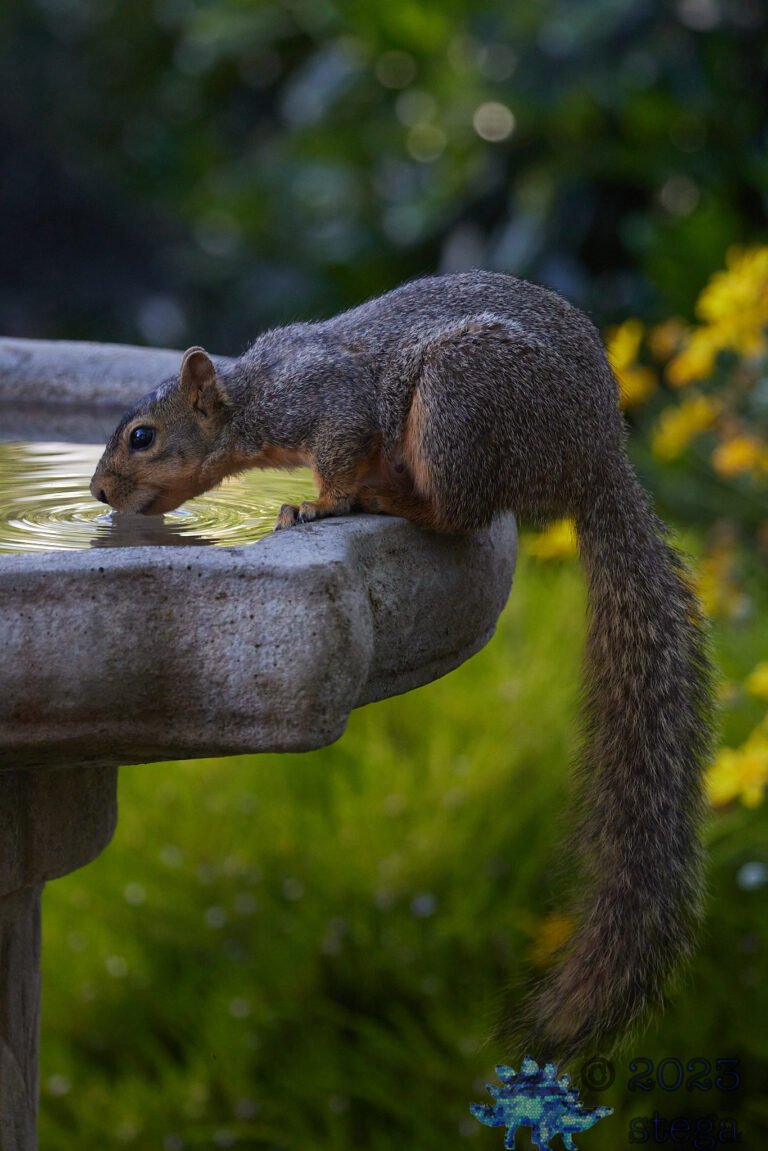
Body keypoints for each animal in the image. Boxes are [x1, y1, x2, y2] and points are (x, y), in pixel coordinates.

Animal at [91, 270, 715, 1063]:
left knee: (460, 514)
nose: (97, 494)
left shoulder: (329, 402)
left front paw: (316, 505)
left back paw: (389, 500)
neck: (254, 396)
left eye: (143, 437)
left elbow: (340, 450)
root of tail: (594, 457)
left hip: (462, 402)